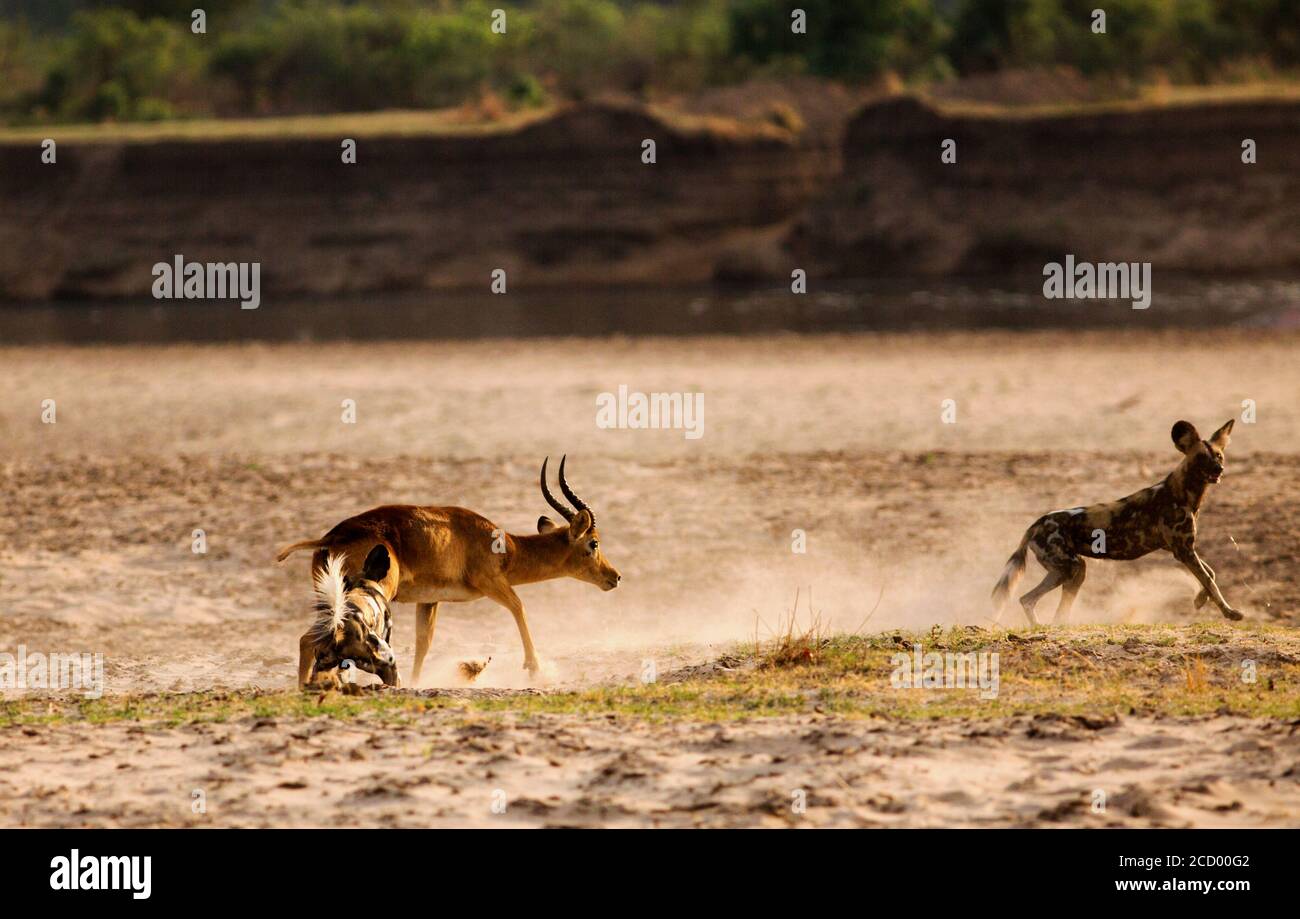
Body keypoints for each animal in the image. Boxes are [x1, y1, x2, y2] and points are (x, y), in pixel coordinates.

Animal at [276, 457, 621, 681]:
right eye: (593, 542)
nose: (614, 576)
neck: (506, 547)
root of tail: (330, 537)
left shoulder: (430, 599)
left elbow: (424, 643)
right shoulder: (492, 582)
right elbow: (519, 607)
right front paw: (535, 669)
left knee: (308, 640)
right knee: (309, 639)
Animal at [987, 421, 1242, 626]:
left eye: (1219, 456)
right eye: (1201, 457)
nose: (1219, 469)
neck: (1183, 492)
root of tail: (1036, 524)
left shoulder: (1179, 549)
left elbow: (1211, 574)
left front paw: (1199, 599)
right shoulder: (1184, 550)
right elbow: (1209, 580)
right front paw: (1229, 612)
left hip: (1070, 571)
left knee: (1031, 601)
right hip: (1070, 567)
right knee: (1034, 601)